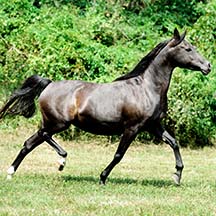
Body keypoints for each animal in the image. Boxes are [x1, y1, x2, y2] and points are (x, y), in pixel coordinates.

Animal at [0, 28, 211, 184]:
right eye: (187, 48)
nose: (207, 66)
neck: (147, 88)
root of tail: (49, 84)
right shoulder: (132, 128)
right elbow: (119, 155)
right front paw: (102, 178)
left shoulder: (154, 126)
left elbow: (174, 143)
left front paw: (177, 175)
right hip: (58, 123)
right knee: (43, 136)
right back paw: (62, 160)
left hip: (52, 123)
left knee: (29, 143)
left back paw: (11, 173)